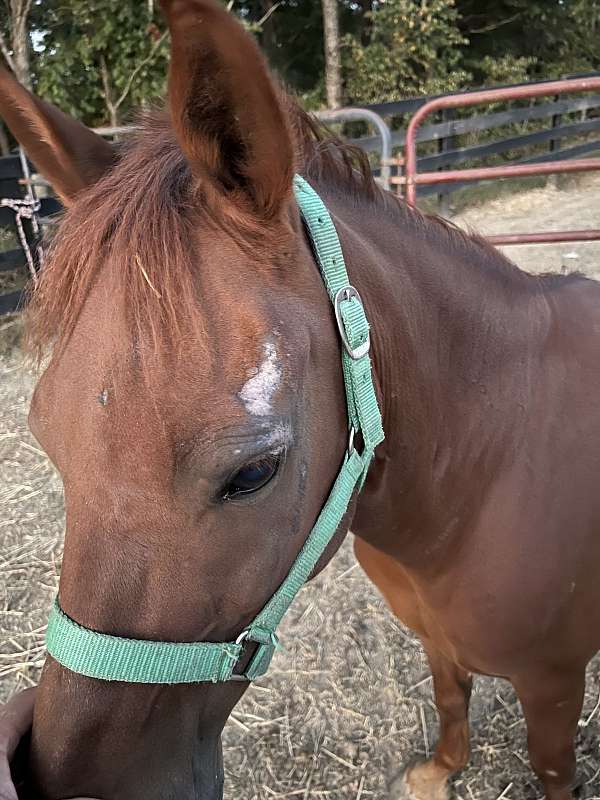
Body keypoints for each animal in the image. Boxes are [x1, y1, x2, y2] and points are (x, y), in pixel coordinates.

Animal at [1, 1, 600, 800]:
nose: (72, 784)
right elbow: (450, 698)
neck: (489, 469)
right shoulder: (437, 640)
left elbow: (552, 766)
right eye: (47, 436)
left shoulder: (553, 683)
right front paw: (437, 772)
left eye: (254, 473)